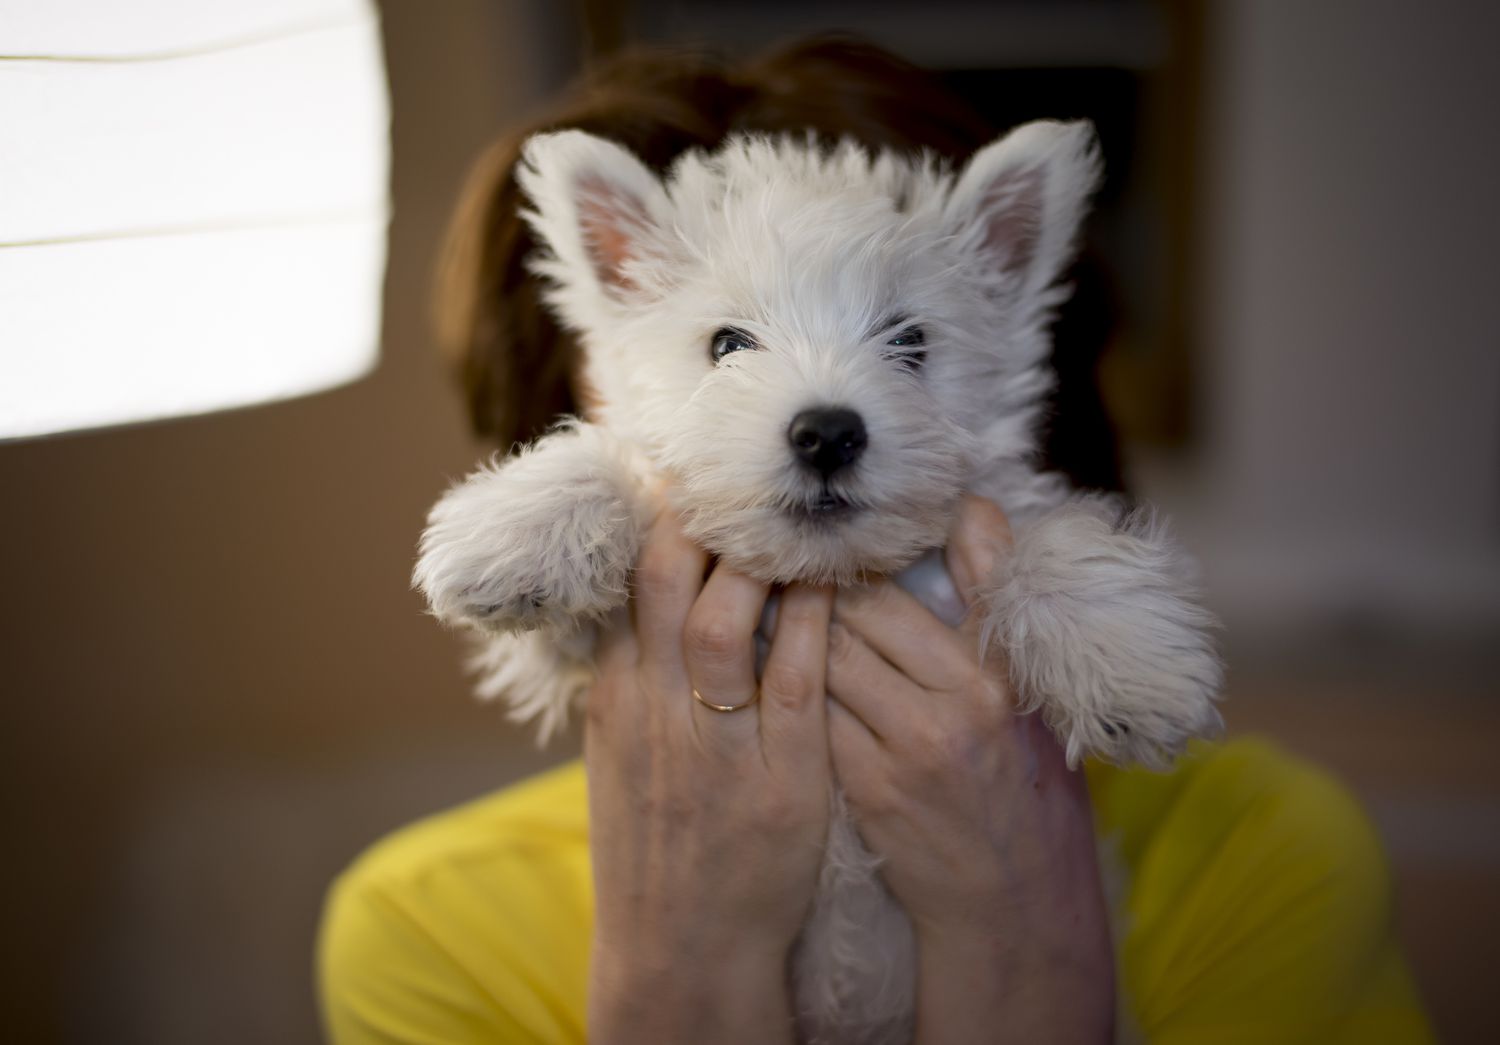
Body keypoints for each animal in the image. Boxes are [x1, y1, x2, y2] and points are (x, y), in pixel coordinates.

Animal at [411, 119, 1218, 1043]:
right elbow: (627, 476)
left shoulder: (996, 515)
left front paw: (1133, 667)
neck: (826, 582)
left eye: (911, 341)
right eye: (727, 344)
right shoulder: (573, 655)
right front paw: (517, 532)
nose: (827, 432)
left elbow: (1048, 533)